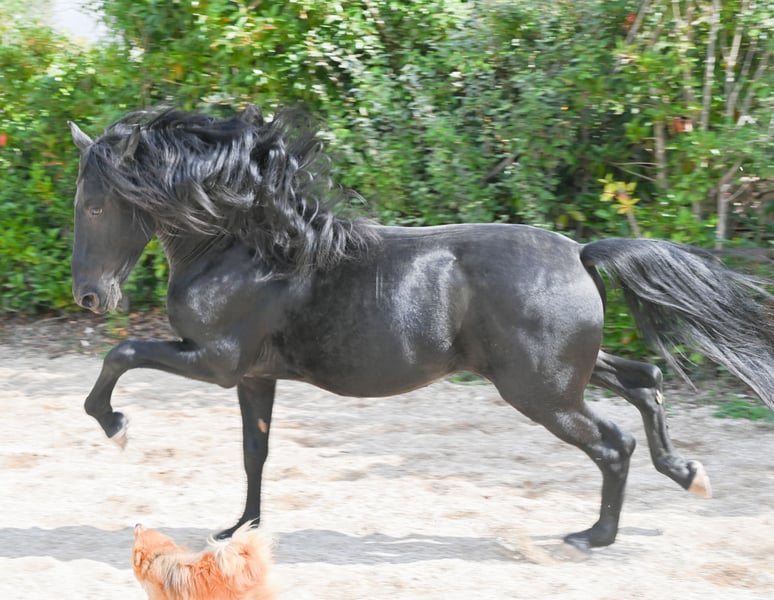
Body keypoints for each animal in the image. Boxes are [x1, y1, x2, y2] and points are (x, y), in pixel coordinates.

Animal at [68, 105, 774, 551]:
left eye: (96, 205)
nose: (89, 296)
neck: (247, 247)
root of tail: (579, 253)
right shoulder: (254, 376)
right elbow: (254, 452)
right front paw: (240, 530)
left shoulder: (213, 362)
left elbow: (120, 354)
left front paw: (116, 427)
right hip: (564, 374)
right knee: (646, 380)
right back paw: (687, 472)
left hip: (540, 392)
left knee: (613, 443)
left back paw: (592, 536)